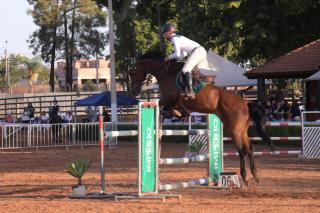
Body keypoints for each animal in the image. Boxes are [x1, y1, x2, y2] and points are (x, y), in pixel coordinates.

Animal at [131, 51, 274, 185]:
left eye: (133, 72)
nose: (134, 90)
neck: (165, 73)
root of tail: (245, 103)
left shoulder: (167, 98)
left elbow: (163, 106)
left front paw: (174, 113)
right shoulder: (172, 101)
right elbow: (173, 108)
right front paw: (179, 113)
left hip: (234, 131)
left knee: (242, 151)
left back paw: (245, 177)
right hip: (242, 131)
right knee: (249, 149)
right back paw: (256, 176)